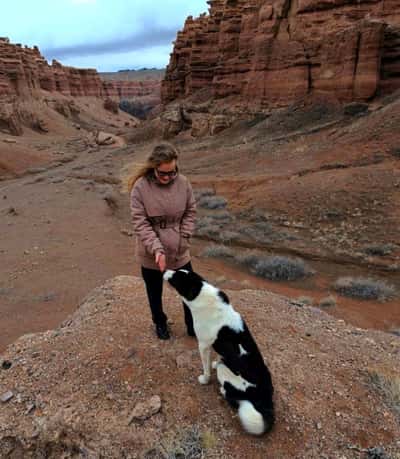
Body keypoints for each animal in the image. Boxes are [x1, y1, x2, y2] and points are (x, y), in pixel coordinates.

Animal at [162, 272, 276, 436]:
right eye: (178, 271)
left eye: (176, 278)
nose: (164, 271)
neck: (201, 292)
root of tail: (265, 395)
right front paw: (215, 362)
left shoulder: (203, 345)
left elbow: (206, 368)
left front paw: (204, 379)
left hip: (226, 374)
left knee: (230, 395)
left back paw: (222, 388)